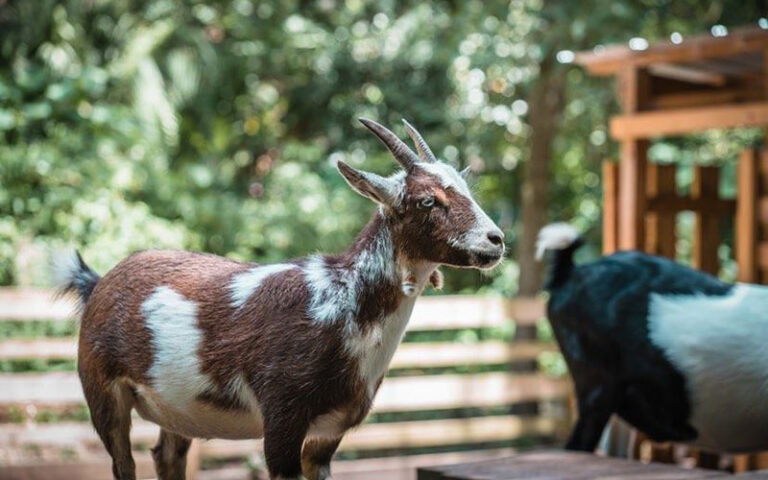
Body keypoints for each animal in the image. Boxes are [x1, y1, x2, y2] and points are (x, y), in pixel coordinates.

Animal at [55, 119, 510, 480]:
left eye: (468, 190)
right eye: (427, 200)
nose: (496, 240)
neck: (342, 301)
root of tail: (98, 282)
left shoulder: (328, 435)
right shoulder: (282, 420)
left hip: (176, 407)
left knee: (167, 457)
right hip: (102, 390)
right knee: (124, 463)